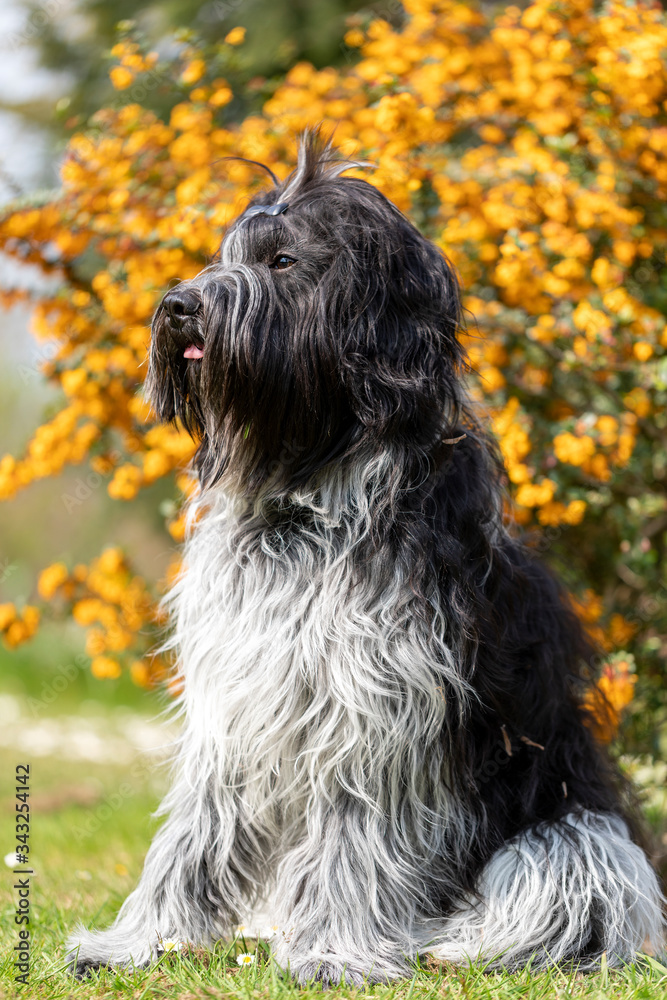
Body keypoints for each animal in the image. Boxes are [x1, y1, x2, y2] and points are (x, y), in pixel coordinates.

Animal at [66, 129, 664, 980]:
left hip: (575, 836)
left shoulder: (376, 702)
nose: (179, 306)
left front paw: (330, 951)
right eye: (223, 256)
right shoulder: (234, 692)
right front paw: (141, 939)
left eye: (283, 261)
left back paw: (439, 937)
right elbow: (194, 831)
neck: (304, 494)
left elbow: (356, 830)